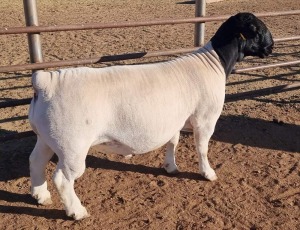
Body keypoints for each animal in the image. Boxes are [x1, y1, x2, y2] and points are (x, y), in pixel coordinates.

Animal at [28, 12, 274, 219]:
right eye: (258, 29)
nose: (271, 47)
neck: (214, 62)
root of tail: (46, 83)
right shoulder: (205, 118)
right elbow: (202, 148)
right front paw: (208, 173)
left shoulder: (175, 119)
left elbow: (173, 142)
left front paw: (170, 167)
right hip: (72, 145)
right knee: (63, 179)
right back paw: (77, 212)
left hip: (46, 137)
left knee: (36, 160)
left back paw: (41, 196)